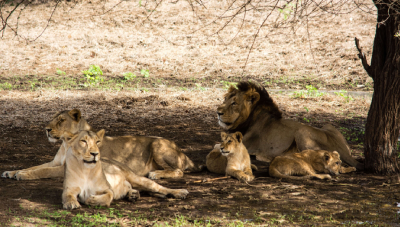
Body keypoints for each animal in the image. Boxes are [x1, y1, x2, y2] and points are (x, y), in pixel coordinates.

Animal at [1, 109, 198, 180]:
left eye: (61, 120)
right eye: (52, 118)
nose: (46, 129)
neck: (66, 143)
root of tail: (185, 154)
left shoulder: (64, 167)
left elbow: (42, 171)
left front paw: (22, 175)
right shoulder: (55, 162)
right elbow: (34, 166)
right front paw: (12, 171)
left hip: (157, 144)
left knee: (178, 171)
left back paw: (156, 174)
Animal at [61, 129, 189, 209]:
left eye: (97, 142)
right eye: (83, 141)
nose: (95, 153)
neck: (85, 170)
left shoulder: (108, 189)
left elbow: (108, 196)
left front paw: (92, 200)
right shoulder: (69, 189)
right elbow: (67, 196)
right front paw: (71, 203)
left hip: (139, 177)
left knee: (162, 187)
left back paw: (180, 192)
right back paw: (133, 194)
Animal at [217, 81, 364, 170]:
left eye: (234, 103)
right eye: (225, 99)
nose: (218, 112)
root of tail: (342, 149)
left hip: (302, 131)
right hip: (328, 126)